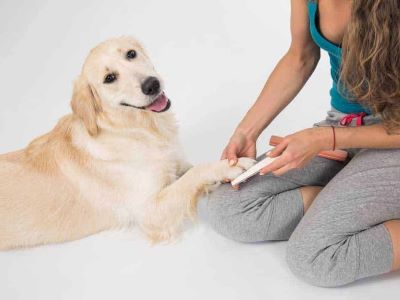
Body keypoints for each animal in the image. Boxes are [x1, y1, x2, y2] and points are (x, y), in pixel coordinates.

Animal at [0, 36, 255, 250]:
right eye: (109, 78)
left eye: (131, 54)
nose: (152, 84)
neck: (140, 129)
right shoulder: (149, 211)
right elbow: (194, 176)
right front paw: (230, 166)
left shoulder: (175, 164)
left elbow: (190, 170)